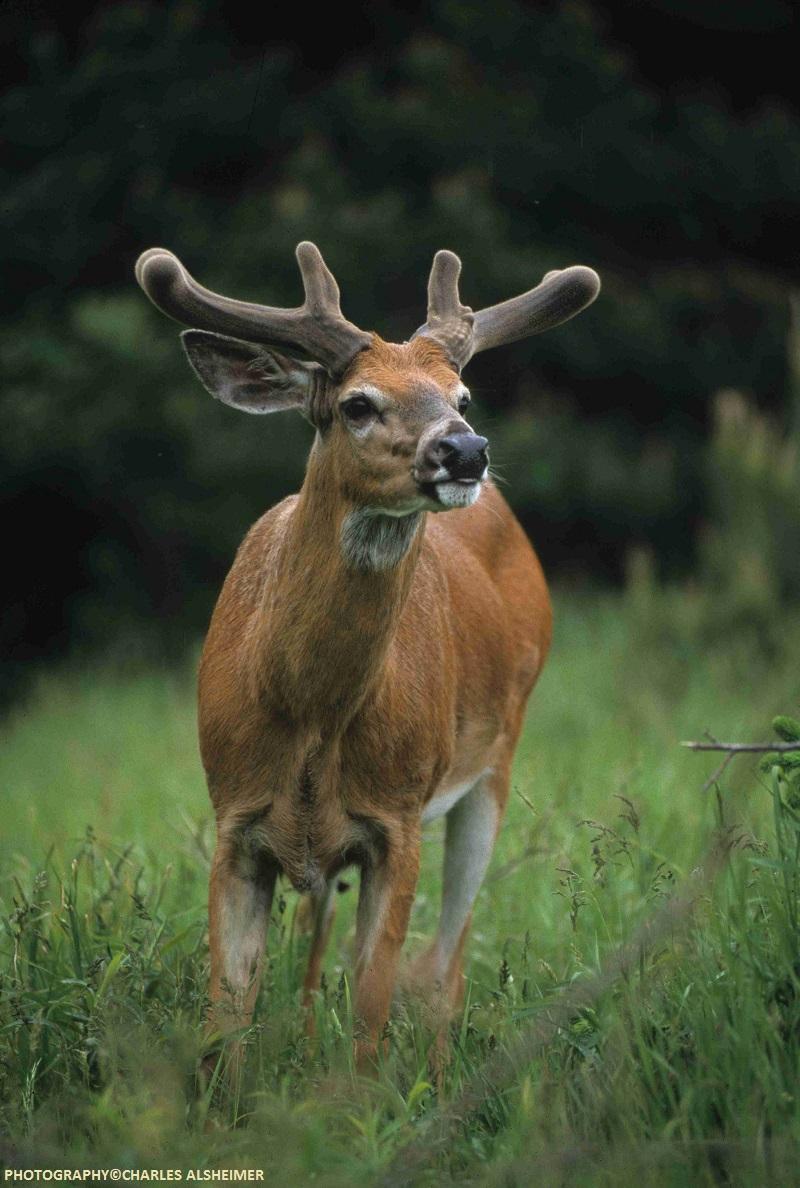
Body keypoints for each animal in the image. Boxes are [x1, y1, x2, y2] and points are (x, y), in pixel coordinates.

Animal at [135, 241, 599, 1069]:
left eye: (462, 393)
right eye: (357, 403)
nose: (465, 449)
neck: (308, 713)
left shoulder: (398, 818)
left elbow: (373, 1009)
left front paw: (353, 1100)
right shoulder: (233, 818)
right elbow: (229, 1013)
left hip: (497, 757)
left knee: (447, 961)